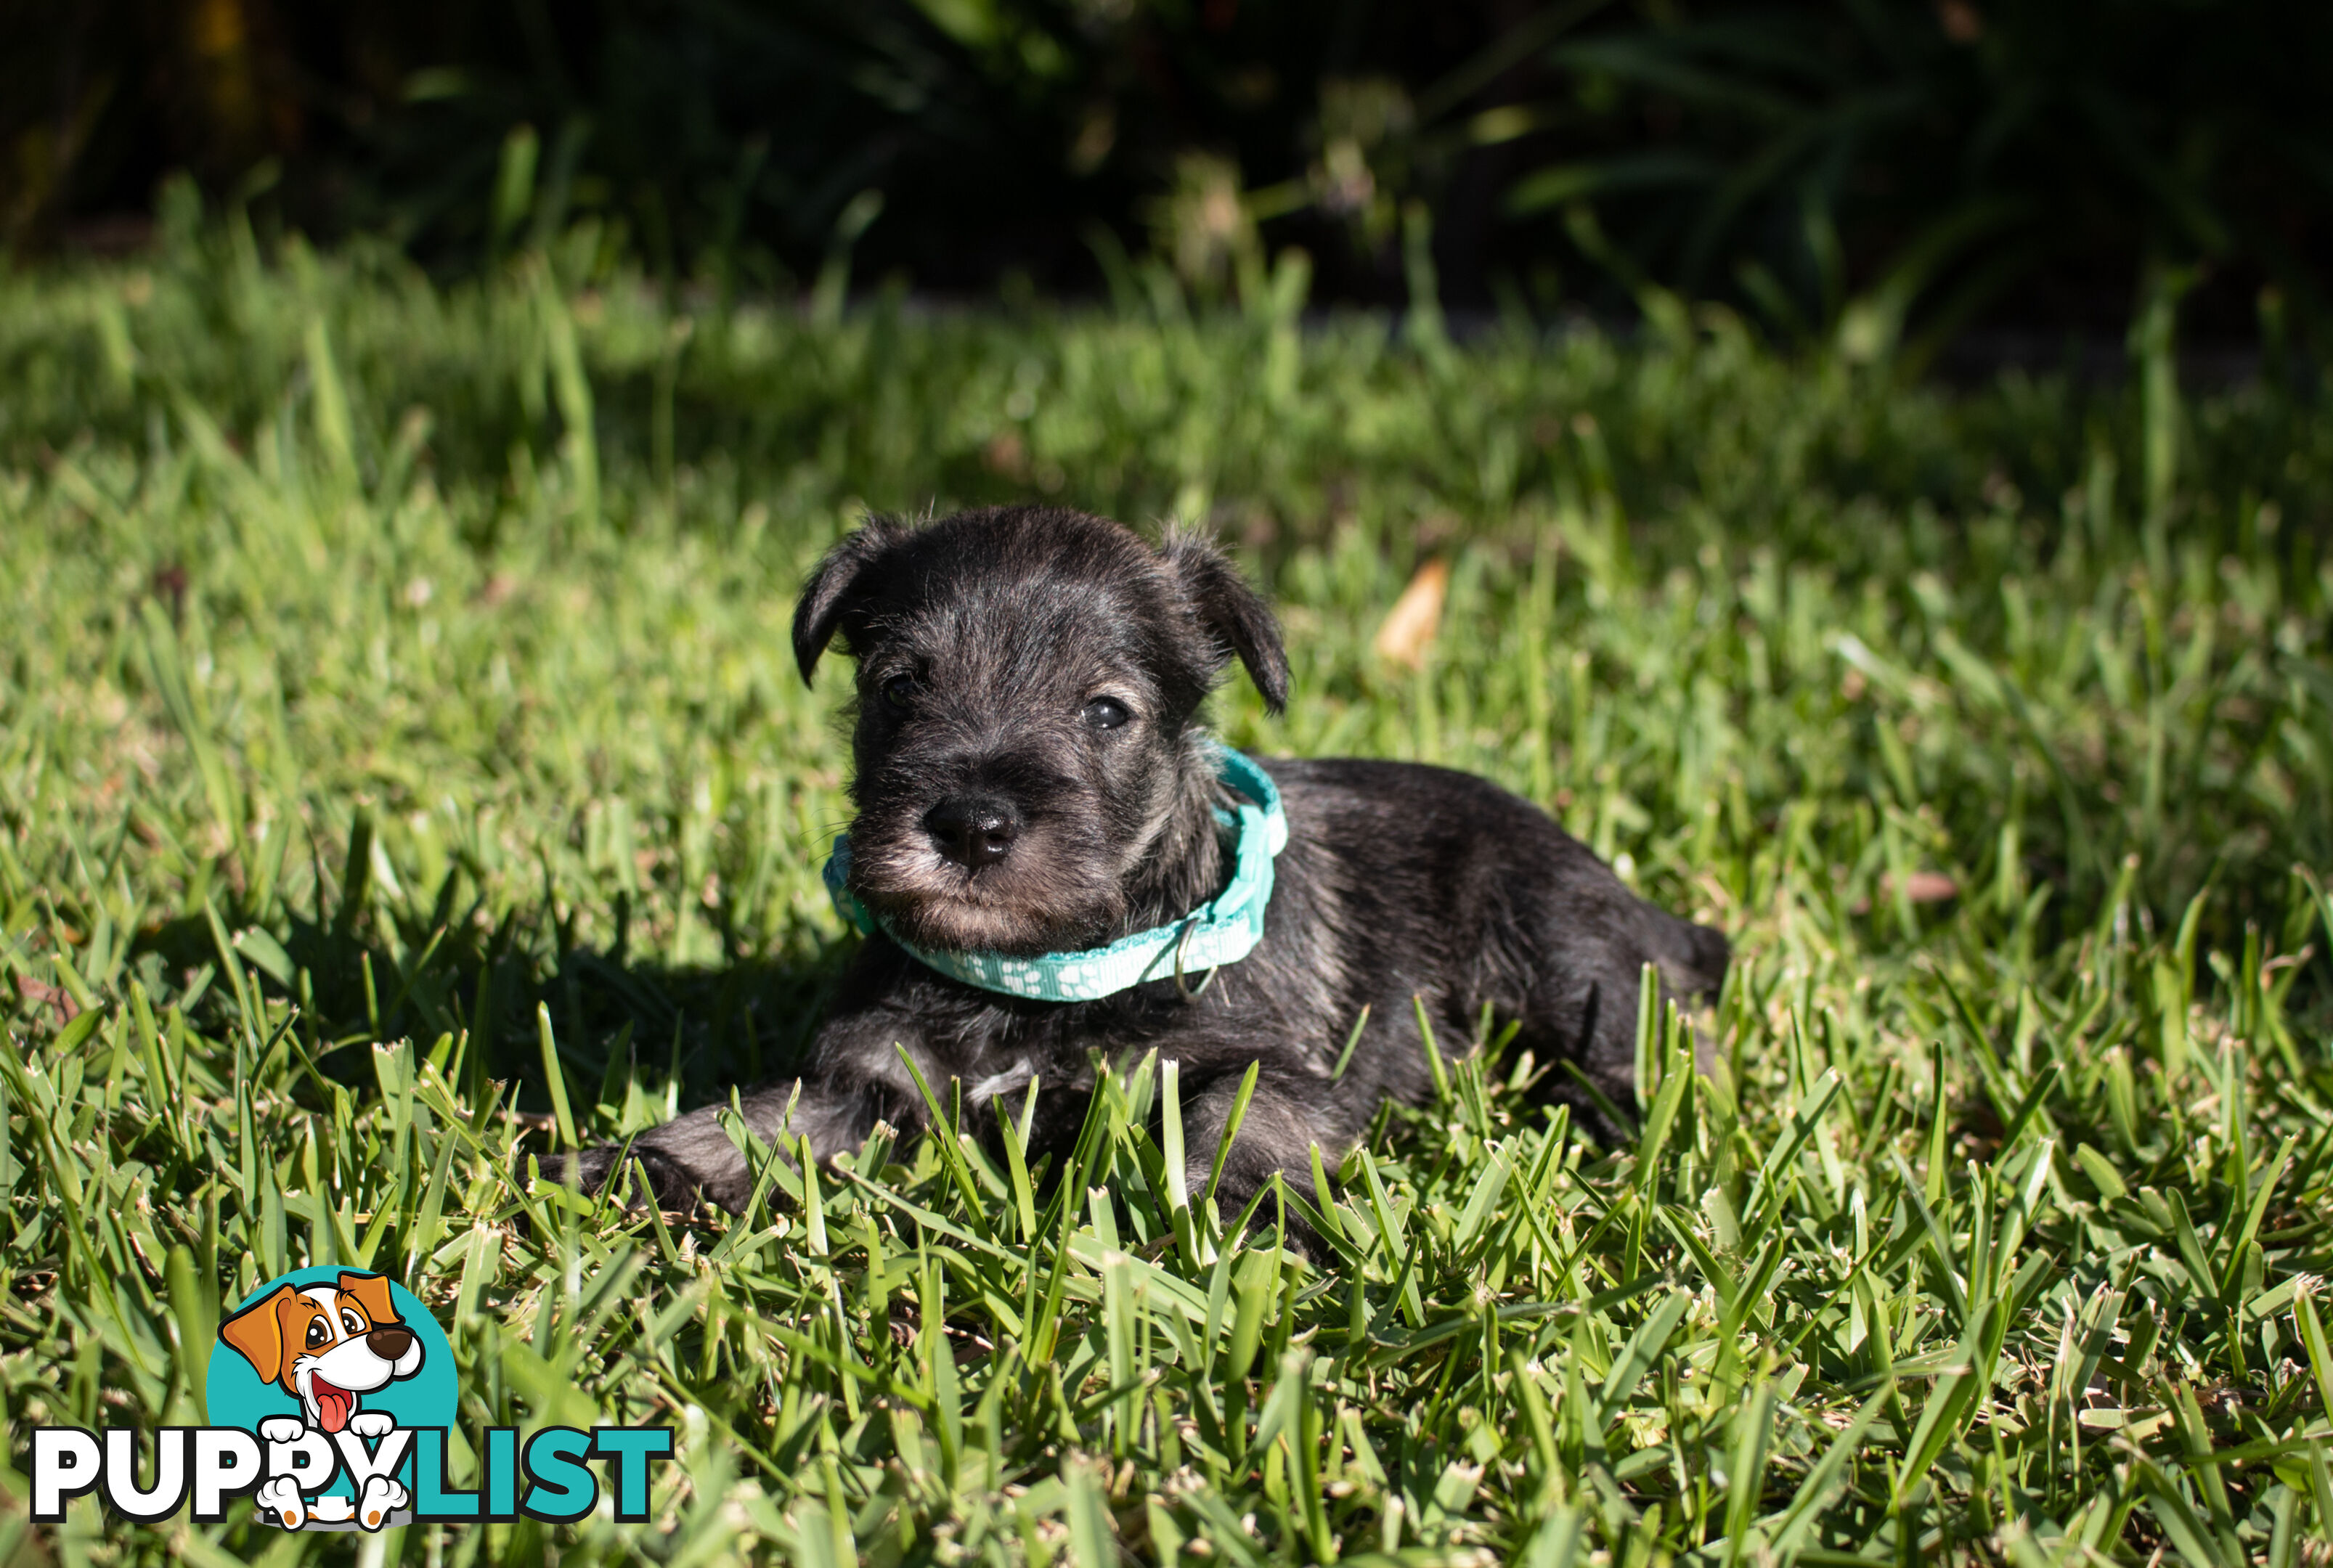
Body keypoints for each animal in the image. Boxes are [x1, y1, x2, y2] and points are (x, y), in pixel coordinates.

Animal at [569, 508, 1735, 1241]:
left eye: (1103, 711)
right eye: (900, 688)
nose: (971, 825)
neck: (1040, 974)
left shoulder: (1260, 1061)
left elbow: (1243, 1124)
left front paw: (1237, 1216)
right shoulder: (874, 1081)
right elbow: (761, 1122)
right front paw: (633, 1165)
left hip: (1569, 962)